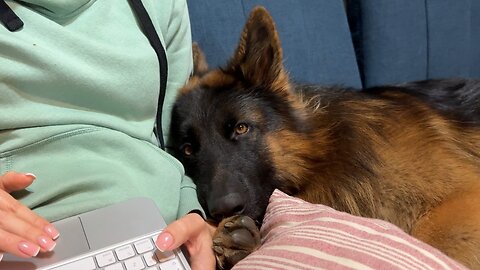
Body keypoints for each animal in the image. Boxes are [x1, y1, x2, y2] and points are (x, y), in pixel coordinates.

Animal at [171, 5, 480, 268]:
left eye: (241, 128)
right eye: (188, 150)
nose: (222, 210)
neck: (323, 157)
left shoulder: (463, 198)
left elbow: (430, 238)